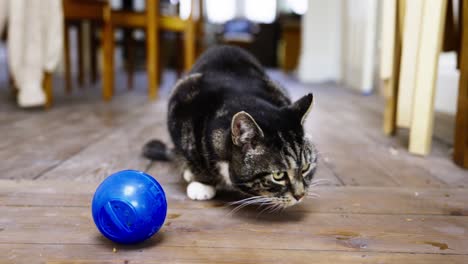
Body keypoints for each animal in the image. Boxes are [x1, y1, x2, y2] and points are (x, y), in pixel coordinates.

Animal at [144, 45, 318, 208]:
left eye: (305, 168)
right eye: (278, 176)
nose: (300, 195)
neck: (242, 98)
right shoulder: (181, 101)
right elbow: (191, 151)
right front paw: (201, 183)